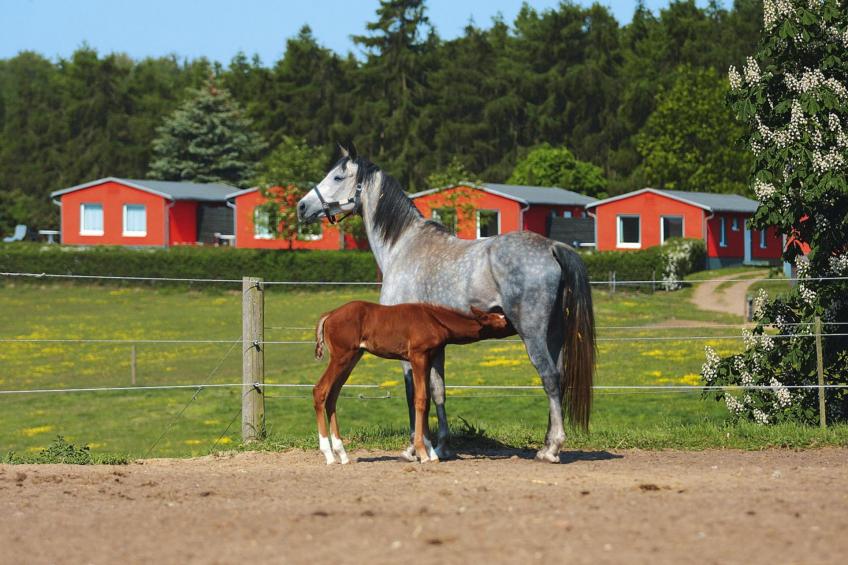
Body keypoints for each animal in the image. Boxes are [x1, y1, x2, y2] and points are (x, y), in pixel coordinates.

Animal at [312, 300, 510, 462]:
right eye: (503, 321)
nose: (514, 324)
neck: (434, 319)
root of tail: (329, 314)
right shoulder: (417, 357)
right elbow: (420, 400)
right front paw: (423, 453)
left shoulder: (428, 359)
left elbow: (427, 401)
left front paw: (431, 452)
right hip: (342, 356)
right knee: (320, 390)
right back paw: (329, 455)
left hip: (353, 357)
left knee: (332, 396)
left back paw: (342, 454)